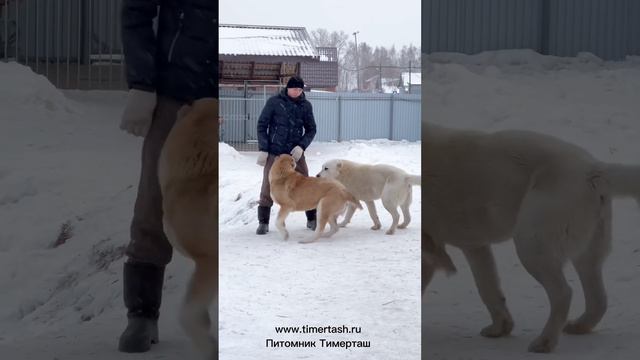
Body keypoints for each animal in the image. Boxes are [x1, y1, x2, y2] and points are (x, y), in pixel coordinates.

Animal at [422, 123, 640, 352]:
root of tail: (594, 170)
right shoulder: (474, 244)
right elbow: (488, 287)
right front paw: (500, 328)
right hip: (586, 253)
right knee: (598, 299)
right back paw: (578, 326)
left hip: (531, 246)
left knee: (563, 294)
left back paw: (545, 342)